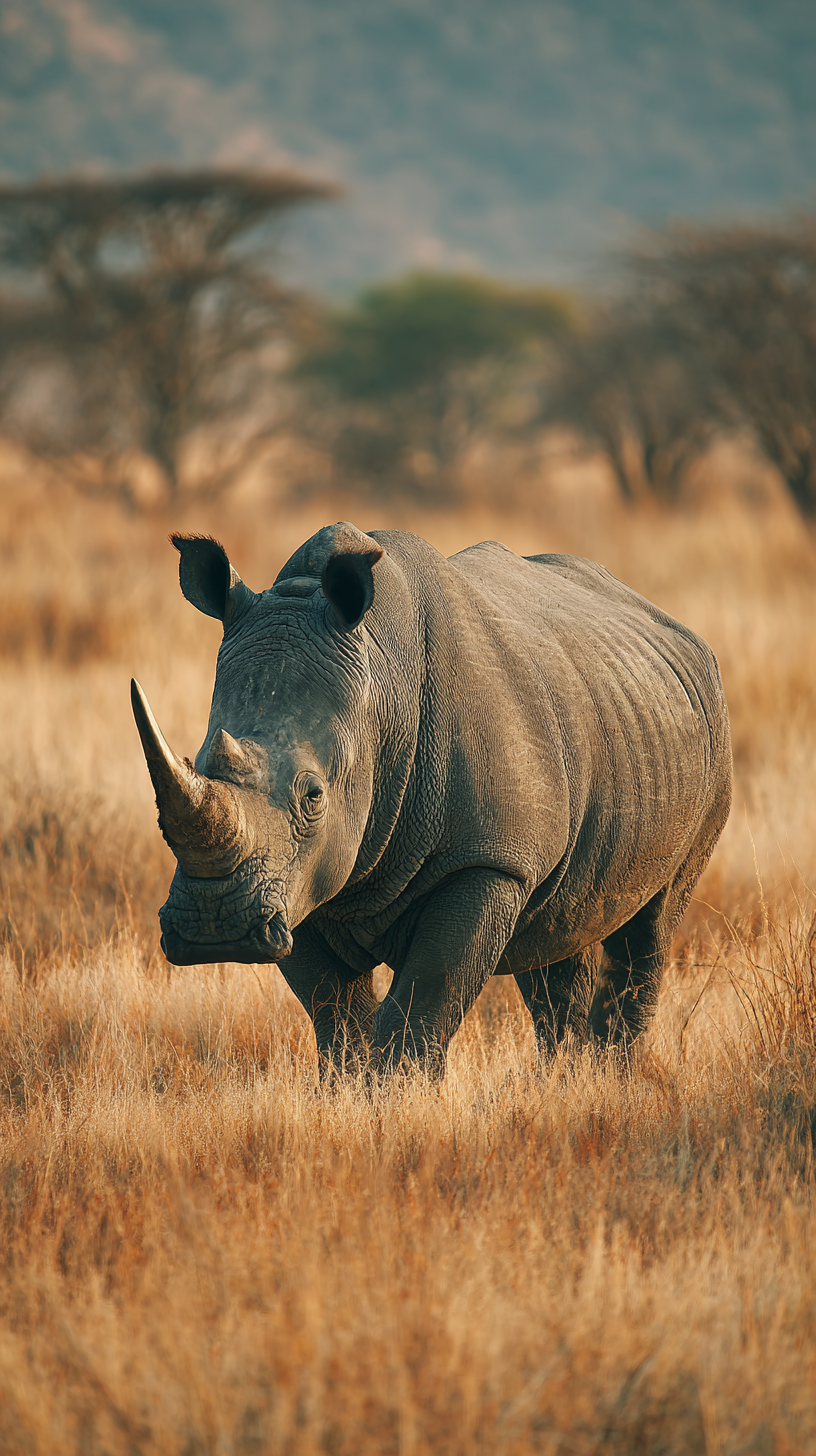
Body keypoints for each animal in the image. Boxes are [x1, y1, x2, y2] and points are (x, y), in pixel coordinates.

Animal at [132, 522, 731, 1075]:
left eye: (313, 796)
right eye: (199, 763)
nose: (215, 929)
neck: (381, 688)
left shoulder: (486, 857)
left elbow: (426, 999)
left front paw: (397, 1099)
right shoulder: (300, 878)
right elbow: (334, 1011)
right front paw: (349, 1094)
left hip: (707, 741)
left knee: (649, 930)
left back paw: (612, 1081)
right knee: (559, 932)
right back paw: (568, 1083)